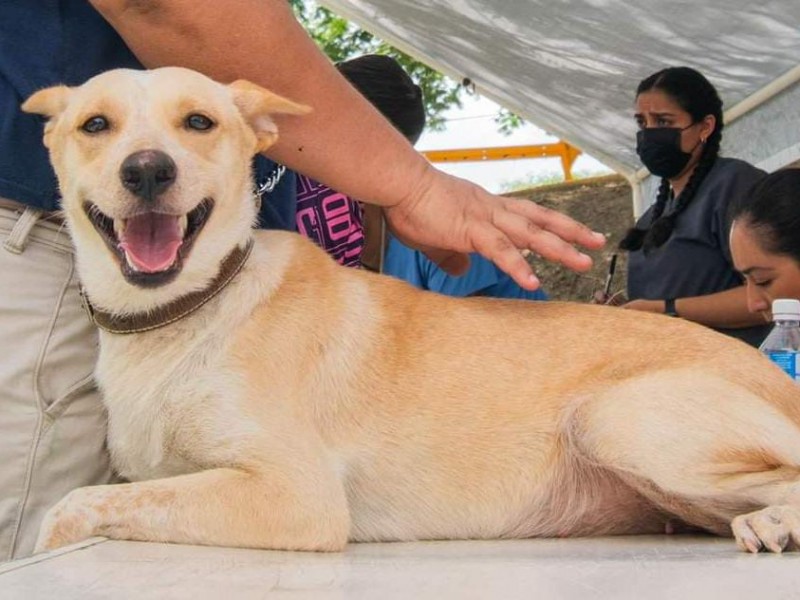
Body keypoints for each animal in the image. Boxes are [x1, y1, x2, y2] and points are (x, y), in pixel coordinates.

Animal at [20, 68, 800, 556]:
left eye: (199, 121)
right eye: (95, 124)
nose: (147, 171)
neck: (187, 311)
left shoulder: (295, 495)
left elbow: (67, 508)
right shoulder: (156, 477)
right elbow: (99, 498)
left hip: (616, 418)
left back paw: (771, 524)